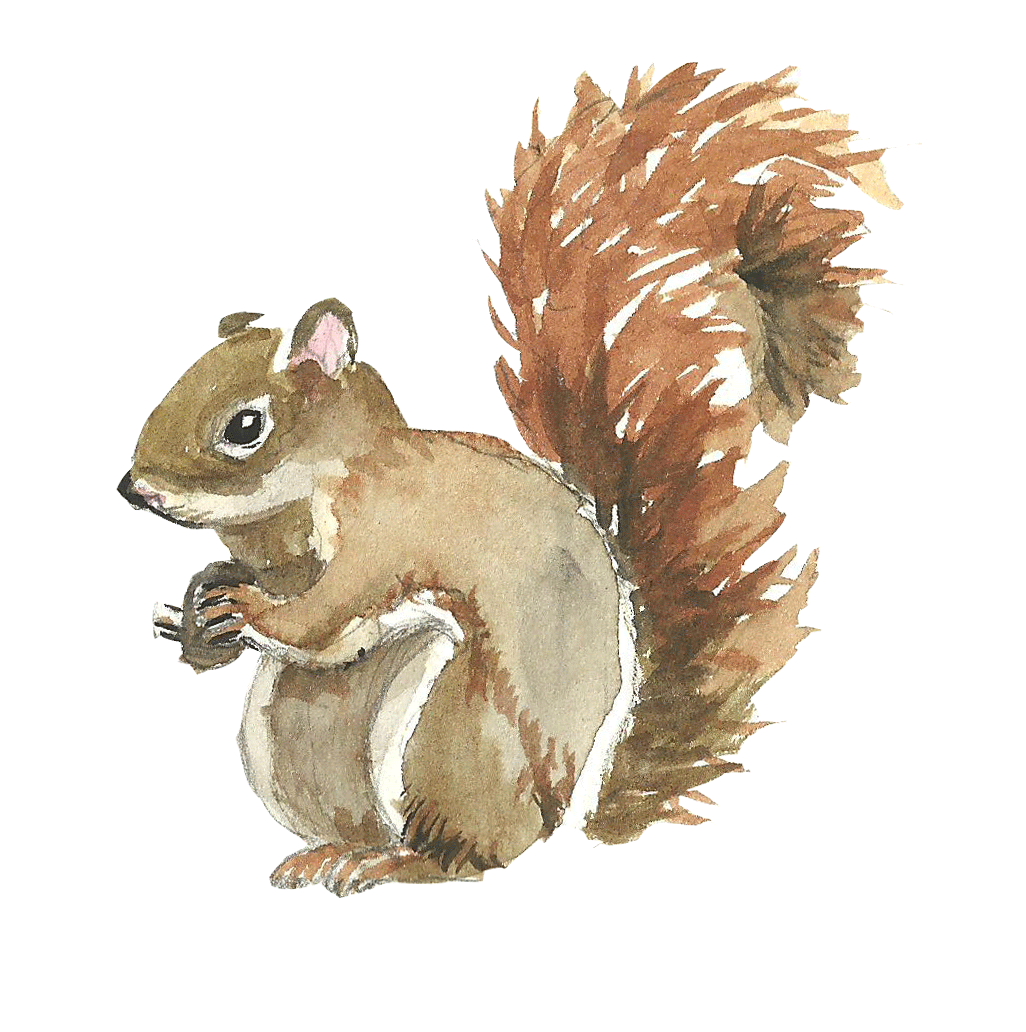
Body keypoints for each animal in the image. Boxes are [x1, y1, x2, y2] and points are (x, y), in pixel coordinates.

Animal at [119, 63, 897, 895]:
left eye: (245, 426)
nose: (133, 490)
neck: (295, 503)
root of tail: (557, 816)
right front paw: (199, 613)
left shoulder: (386, 529)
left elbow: (326, 617)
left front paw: (249, 610)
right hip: (295, 739)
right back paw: (327, 854)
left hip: (451, 740)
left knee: (464, 857)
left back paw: (396, 861)